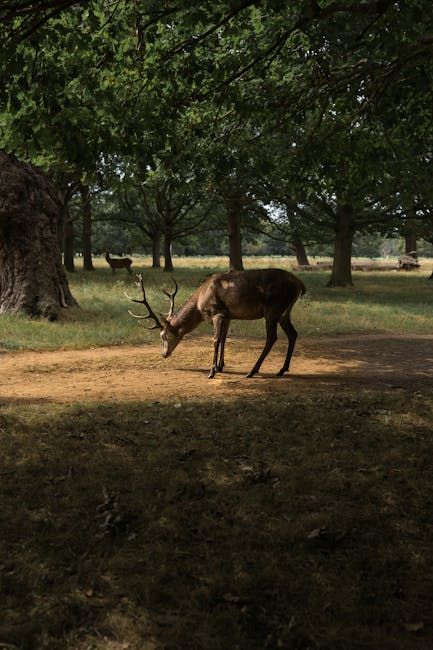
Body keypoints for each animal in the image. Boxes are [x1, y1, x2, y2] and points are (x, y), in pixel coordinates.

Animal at [125, 269, 306, 379]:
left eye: (163, 335)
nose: (164, 354)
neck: (200, 304)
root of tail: (299, 284)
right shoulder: (228, 316)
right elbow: (224, 339)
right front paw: (220, 366)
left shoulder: (217, 312)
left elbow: (216, 340)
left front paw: (211, 371)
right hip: (285, 312)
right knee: (293, 333)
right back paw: (282, 369)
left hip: (273, 309)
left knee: (272, 338)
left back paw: (253, 371)